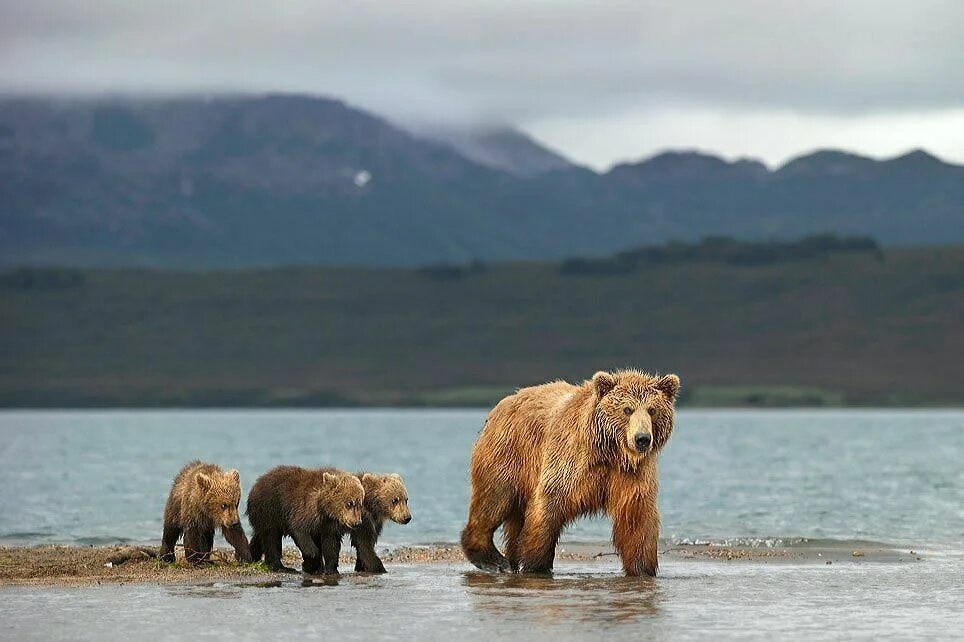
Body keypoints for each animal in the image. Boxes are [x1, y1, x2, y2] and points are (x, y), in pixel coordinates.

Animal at [464, 370, 680, 576]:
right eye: (627, 409)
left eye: (652, 410)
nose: (642, 438)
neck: (610, 452)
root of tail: (502, 404)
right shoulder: (570, 462)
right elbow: (548, 506)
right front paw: (535, 565)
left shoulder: (630, 475)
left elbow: (637, 519)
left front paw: (643, 569)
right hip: (508, 453)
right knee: (494, 498)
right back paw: (492, 559)